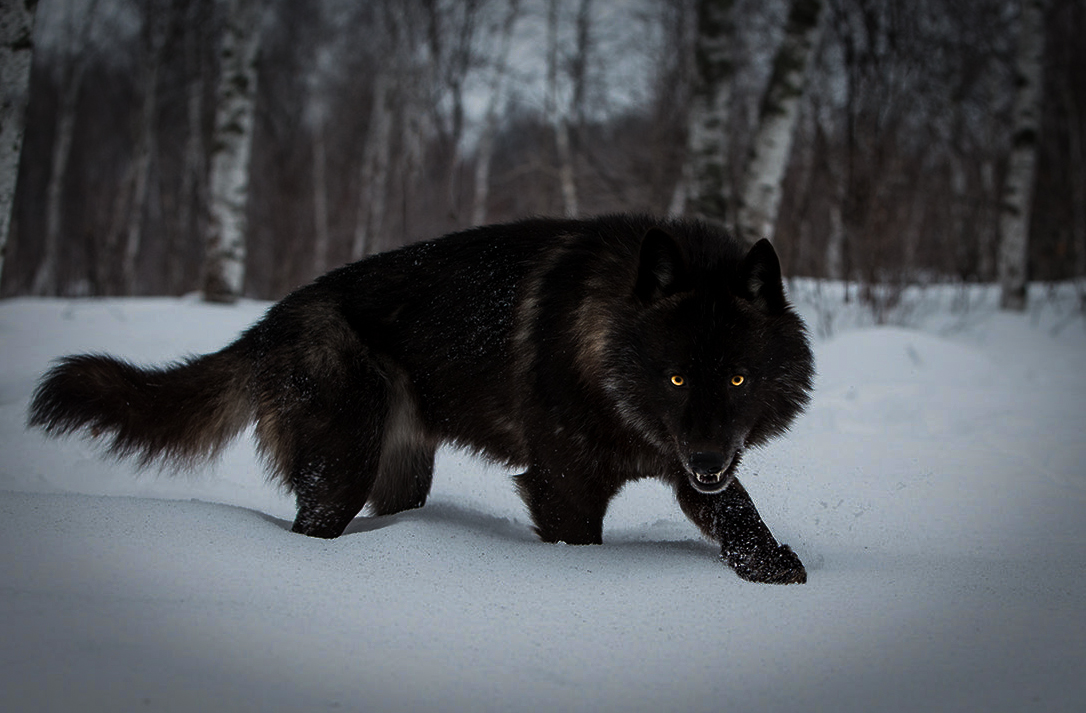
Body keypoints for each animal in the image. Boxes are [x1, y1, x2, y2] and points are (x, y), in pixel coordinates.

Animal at [27, 215, 816, 586]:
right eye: (675, 378)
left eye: (738, 379)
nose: (708, 457)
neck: (602, 341)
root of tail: (271, 320)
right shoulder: (563, 485)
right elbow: (581, 545)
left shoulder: (689, 463)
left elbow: (737, 511)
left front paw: (773, 567)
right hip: (340, 470)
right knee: (311, 528)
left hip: (401, 475)